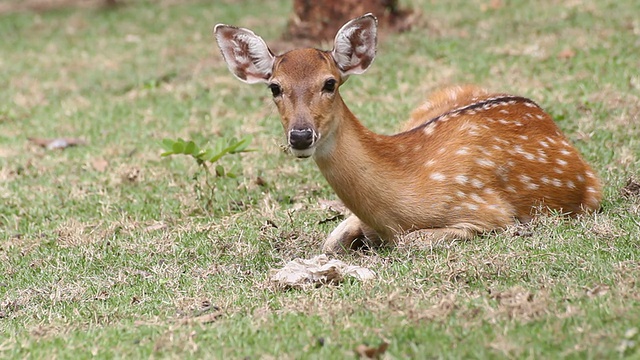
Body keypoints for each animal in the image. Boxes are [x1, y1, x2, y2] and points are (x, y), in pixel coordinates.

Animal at [214, 13, 600, 253]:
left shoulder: (486, 211)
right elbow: (331, 242)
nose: (300, 136)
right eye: (275, 87)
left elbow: (408, 241)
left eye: (329, 83)